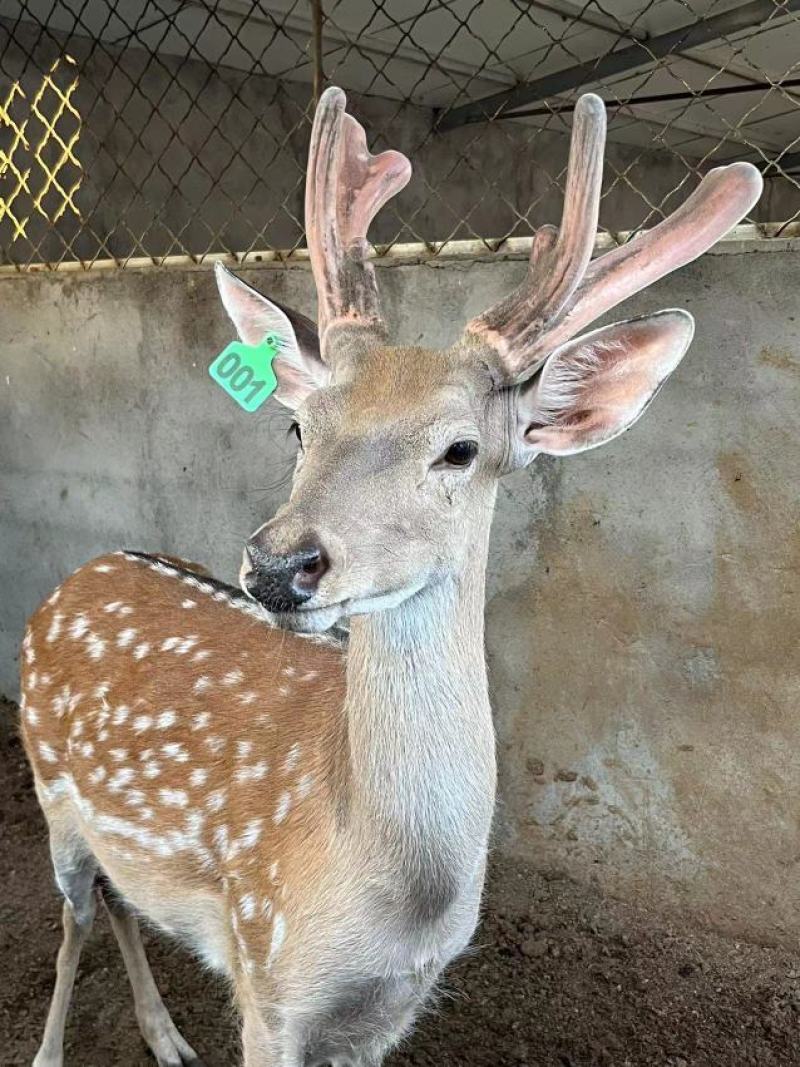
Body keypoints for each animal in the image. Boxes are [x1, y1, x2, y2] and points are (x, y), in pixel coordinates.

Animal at [20, 87, 761, 1067]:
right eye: (298, 426)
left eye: (461, 449)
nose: (279, 562)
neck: (395, 902)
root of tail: (78, 573)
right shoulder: (268, 979)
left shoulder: (386, 1014)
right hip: (49, 789)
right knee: (75, 919)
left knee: (122, 901)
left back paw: (167, 1035)